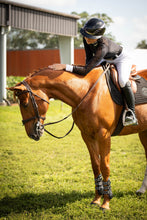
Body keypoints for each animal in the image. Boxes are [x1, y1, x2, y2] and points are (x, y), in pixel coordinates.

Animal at [7, 65, 146, 210]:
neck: (85, 92)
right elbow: (95, 165)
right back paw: (141, 190)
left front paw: (106, 202)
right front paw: (97, 199)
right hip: (143, 132)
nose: (32, 134)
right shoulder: (87, 136)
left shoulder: (104, 135)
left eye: (25, 104)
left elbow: (105, 166)